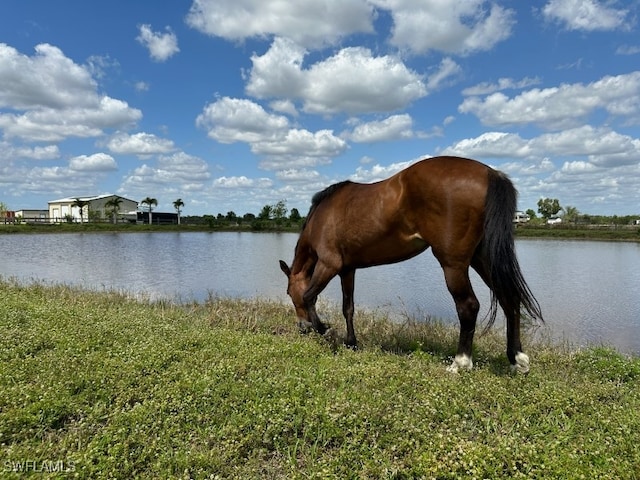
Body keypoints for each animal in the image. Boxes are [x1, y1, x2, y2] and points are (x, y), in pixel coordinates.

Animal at [278, 156, 544, 374]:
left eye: (289, 293)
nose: (302, 327)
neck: (321, 217)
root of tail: (490, 173)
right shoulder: (347, 269)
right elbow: (348, 308)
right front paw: (351, 342)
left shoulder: (329, 265)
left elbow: (310, 296)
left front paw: (325, 330)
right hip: (483, 257)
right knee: (509, 299)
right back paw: (516, 359)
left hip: (454, 264)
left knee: (468, 306)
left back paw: (460, 362)